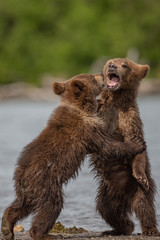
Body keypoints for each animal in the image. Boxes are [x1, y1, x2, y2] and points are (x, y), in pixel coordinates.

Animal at [0, 73, 145, 240]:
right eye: (92, 77)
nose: (101, 74)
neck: (82, 109)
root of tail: (21, 177)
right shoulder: (88, 131)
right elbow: (108, 147)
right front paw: (137, 143)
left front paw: (100, 102)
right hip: (46, 184)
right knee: (51, 206)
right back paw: (46, 234)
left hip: (28, 190)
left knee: (21, 206)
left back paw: (7, 226)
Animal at [91, 58, 160, 236]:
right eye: (110, 61)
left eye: (125, 65)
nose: (112, 66)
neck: (116, 101)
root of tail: (124, 199)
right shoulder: (101, 113)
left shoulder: (129, 119)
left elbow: (138, 147)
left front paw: (140, 174)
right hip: (107, 193)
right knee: (107, 210)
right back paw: (116, 229)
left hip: (136, 188)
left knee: (144, 206)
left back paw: (150, 229)